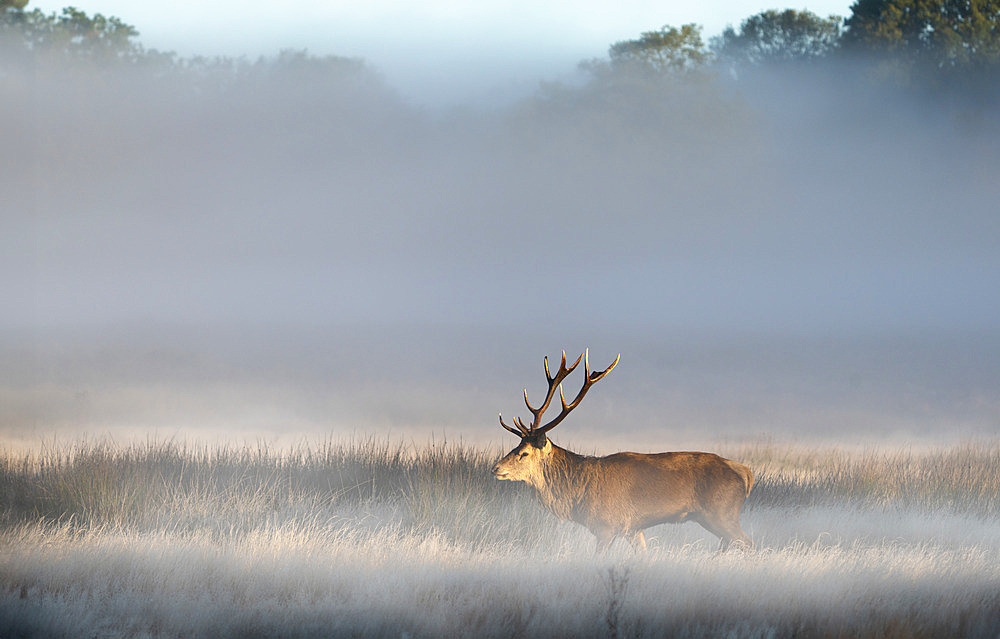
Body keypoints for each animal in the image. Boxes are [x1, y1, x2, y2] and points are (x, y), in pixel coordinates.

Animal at [488, 350, 752, 552]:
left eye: (524, 453)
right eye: (515, 446)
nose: (495, 468)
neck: (577, 493)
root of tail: (746, 473)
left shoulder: (606, 526)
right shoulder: (633, 528)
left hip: (722, 513)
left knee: (747, 543)